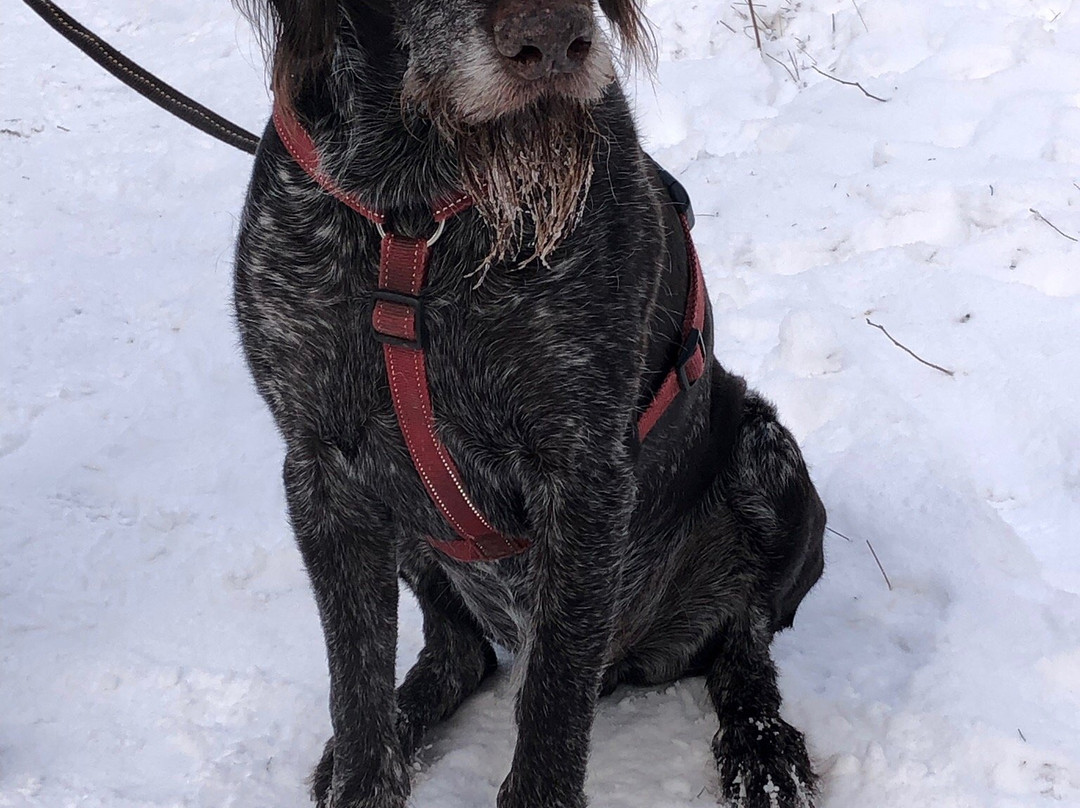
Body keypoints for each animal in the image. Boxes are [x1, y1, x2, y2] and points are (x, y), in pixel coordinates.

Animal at [234, 1, 825, 808]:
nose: (551, 42)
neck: (413, 213)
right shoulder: (323, 470)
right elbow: (356, 694)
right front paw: (362, 768)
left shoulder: (581, 474)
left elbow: (553, 701)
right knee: (459, 654)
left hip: (768, 458)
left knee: (746, 644)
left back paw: (762, 751)